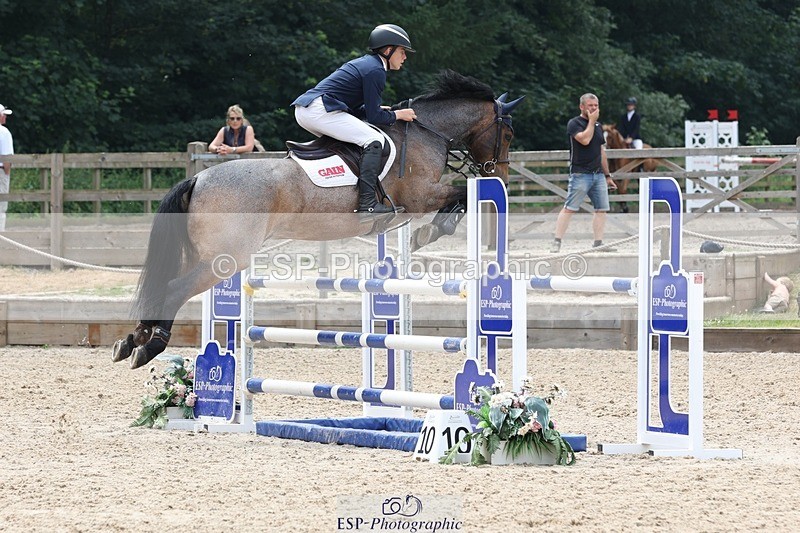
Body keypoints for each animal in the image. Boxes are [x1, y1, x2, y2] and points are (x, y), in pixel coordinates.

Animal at [111, 70, 524, 369]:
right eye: (507, 132)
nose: (501, 176)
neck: (426, 132)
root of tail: (199, 178)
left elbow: (458, 197)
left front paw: (426, 234)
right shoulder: (420, 195)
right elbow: (458, 195)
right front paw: (430, 232)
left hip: (207, 255)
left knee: (162, 287)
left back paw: (131, 340)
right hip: (224, 259)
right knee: (174, 289)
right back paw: (147, 349)